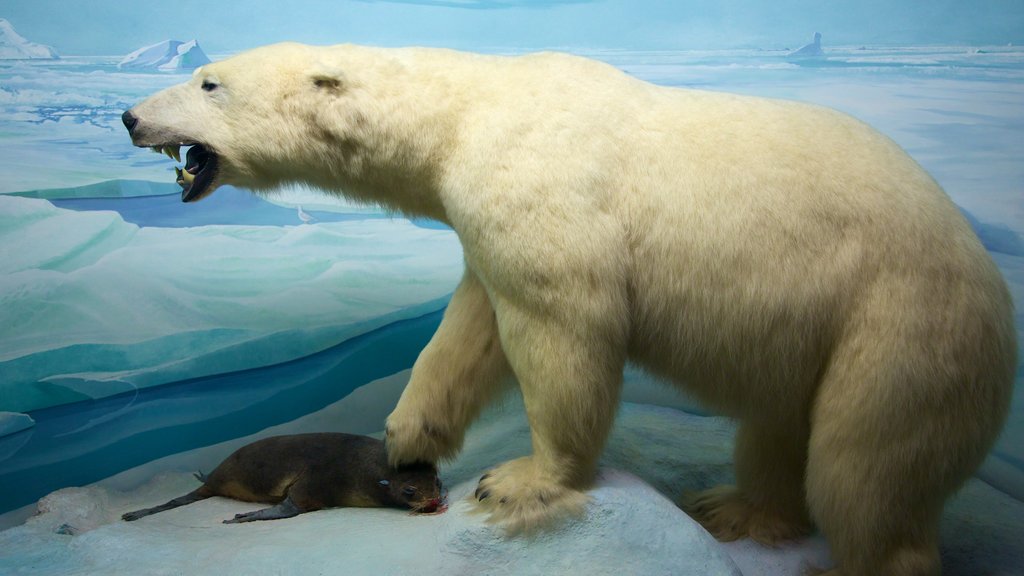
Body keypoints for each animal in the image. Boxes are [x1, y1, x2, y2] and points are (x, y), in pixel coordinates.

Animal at [125, 42, 1015, 569]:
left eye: (208, 80)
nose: (131, 115)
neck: (468, 112)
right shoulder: (488, 215)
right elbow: (470, 329)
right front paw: (405, 435)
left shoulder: (542, 190)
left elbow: (563, 331)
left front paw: (520, 481)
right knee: (777, 429)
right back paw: (735, 510)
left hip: (903, 325)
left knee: (864, 471)